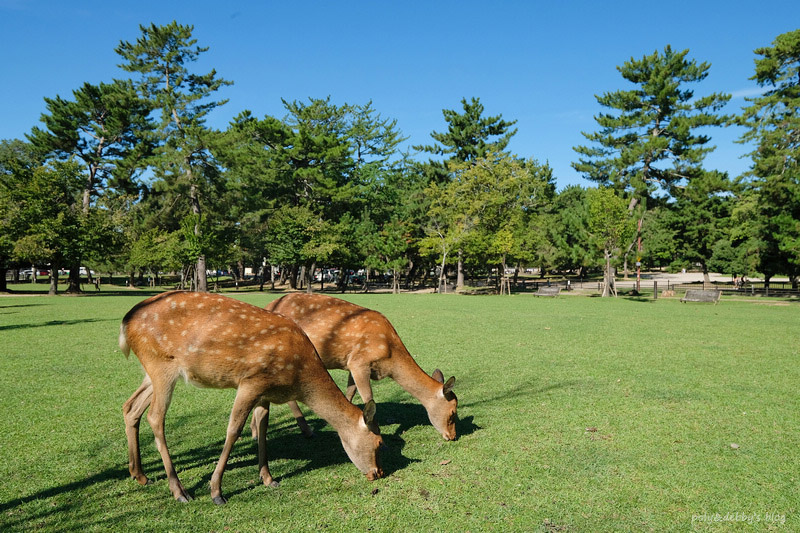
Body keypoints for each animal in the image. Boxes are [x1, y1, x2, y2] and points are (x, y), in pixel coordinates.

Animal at [117, 290, 382, 502]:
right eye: (379, 443)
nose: (377, 473)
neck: (297, 377)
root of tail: (125, 323)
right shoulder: (250, 381)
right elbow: (234, 430)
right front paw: (216, 492)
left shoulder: (265, 392)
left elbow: (262, 428)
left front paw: (268, 478)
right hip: (161, 364)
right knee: (155, 417)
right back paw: (179, 491)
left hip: (151, 371)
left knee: (130, 406)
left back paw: (140, 475)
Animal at [253, 294, 460, 438]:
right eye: (452, 413)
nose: (452, 436)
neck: (390, 358)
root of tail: (268, 305)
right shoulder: (360, 363)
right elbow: (368, 397)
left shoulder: (351, 365)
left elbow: (350, 393)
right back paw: (306, 430)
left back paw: (256, 432)